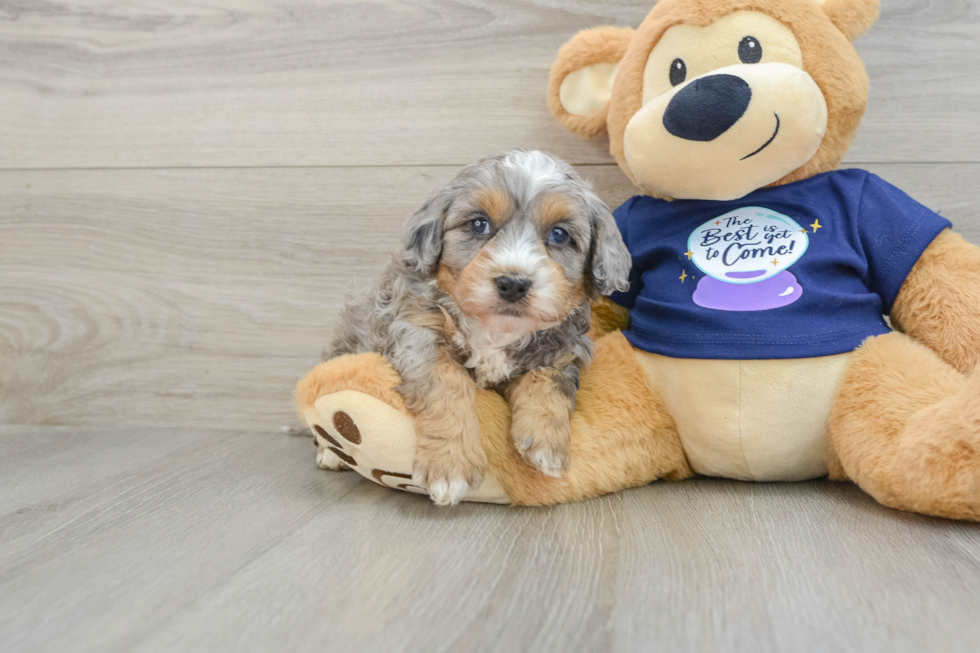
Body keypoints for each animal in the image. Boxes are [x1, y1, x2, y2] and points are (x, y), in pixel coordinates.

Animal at [326, 149, 632, 504]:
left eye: (559, 234)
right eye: (478, 224)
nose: (513, 283)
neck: (494, 329)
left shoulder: (562, 349)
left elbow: (548, 383)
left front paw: (546, 444)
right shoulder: (416, 329)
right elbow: (448, 382)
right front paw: (450, 466)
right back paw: (331, 453)